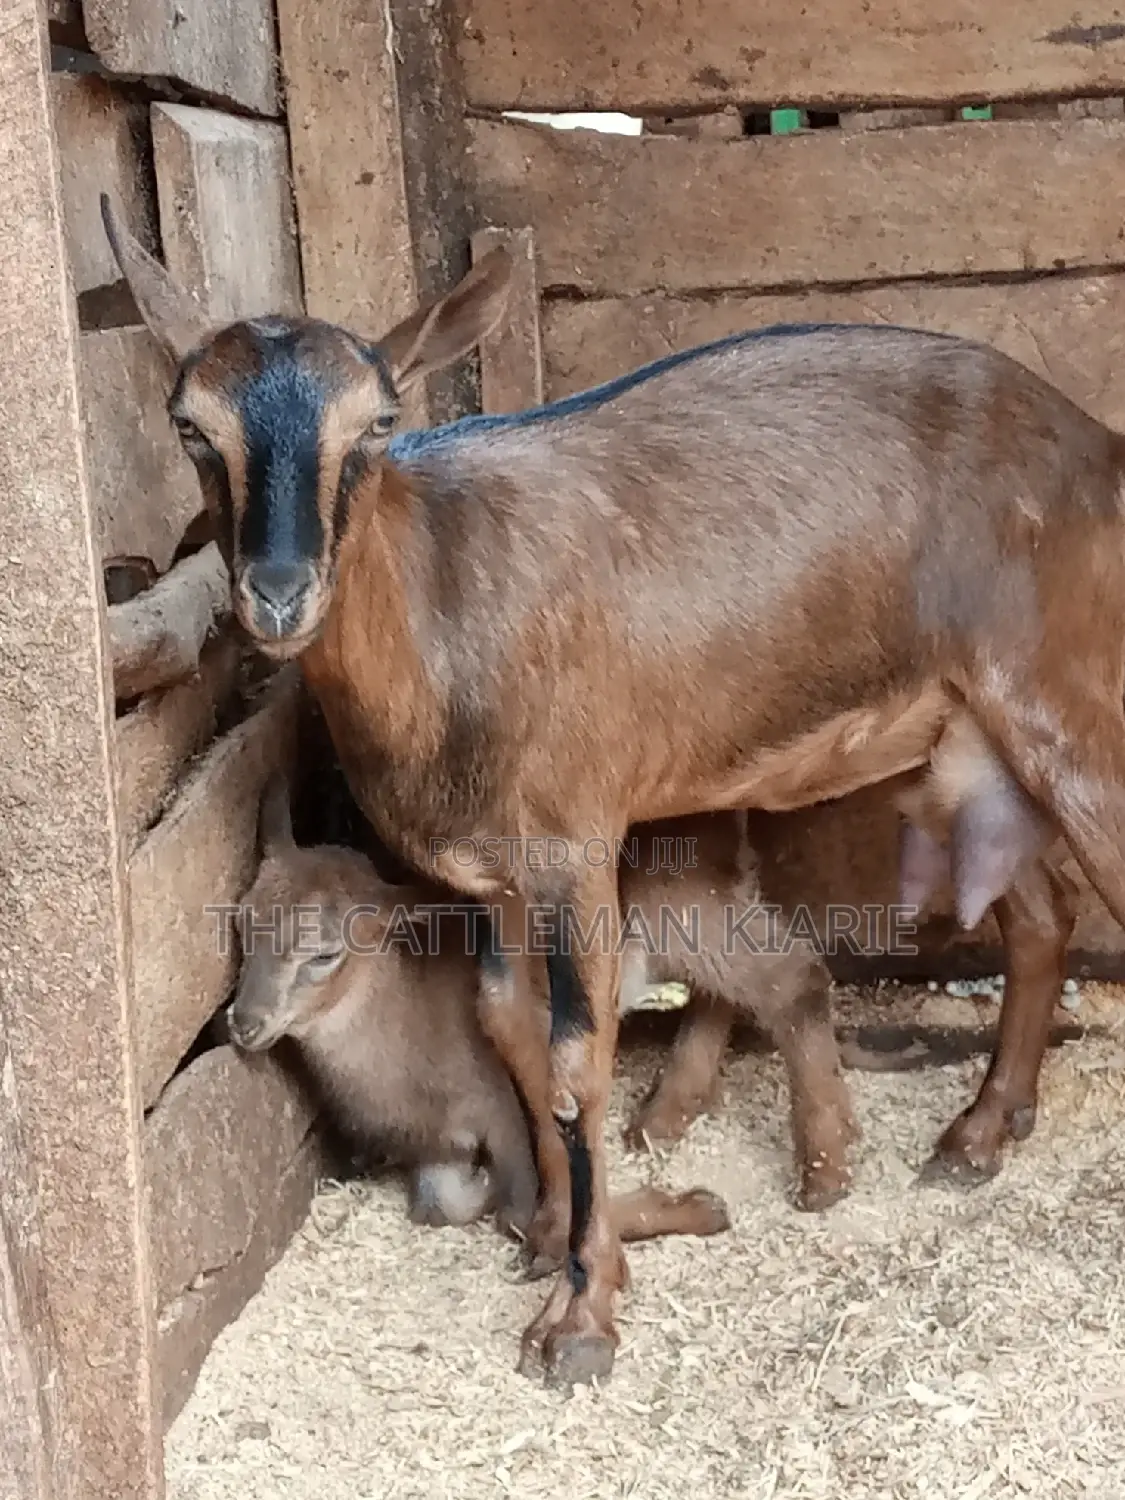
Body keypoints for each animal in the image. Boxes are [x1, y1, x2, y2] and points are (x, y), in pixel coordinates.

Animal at [227, 774, 730, 1248]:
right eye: (242, 918)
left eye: (325, 954)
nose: (244, 1021)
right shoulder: (431, 1144)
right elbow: (438, 1205)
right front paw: (480, 1184)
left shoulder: (501, 1102)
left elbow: (530, 1211)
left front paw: (698, 1207)